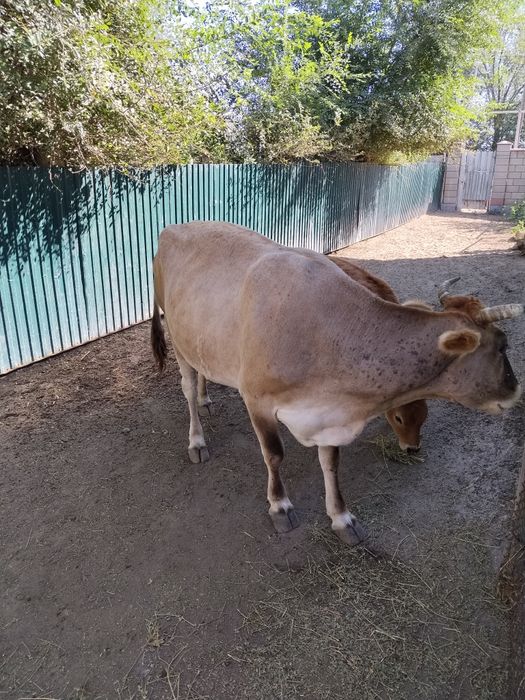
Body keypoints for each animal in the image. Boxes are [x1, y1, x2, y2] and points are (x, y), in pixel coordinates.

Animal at [151, 221, 523, 545]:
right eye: (502, 346)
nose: (515, 390)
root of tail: (173, 228)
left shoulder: (330, 409)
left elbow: (331, 464)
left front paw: (342, 519)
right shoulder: (257, 399)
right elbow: (274, 455)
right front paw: (280, 506)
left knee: (202, 370)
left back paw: (205, 400)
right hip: (177, 336)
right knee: (186, 386)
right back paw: (197, 439)